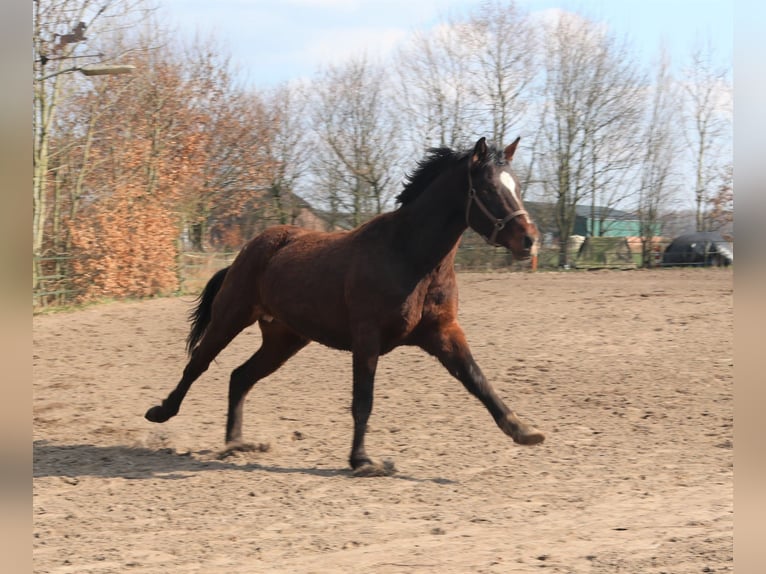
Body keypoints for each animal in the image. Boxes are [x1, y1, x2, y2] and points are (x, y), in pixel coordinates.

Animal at [147, 137, 544, 474]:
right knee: (198, 363)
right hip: (231, 316)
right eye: (489, 189)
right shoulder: (367, 338)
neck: (410, 256)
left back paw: (235, 444)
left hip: (284, 339)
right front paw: (363, 461)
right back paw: (162, 412)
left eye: (516, 187)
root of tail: (252, 247)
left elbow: (477, 380)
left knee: (240, 376)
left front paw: (523, 431)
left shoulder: (443, 333)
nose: (529, 240)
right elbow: (363, 399)